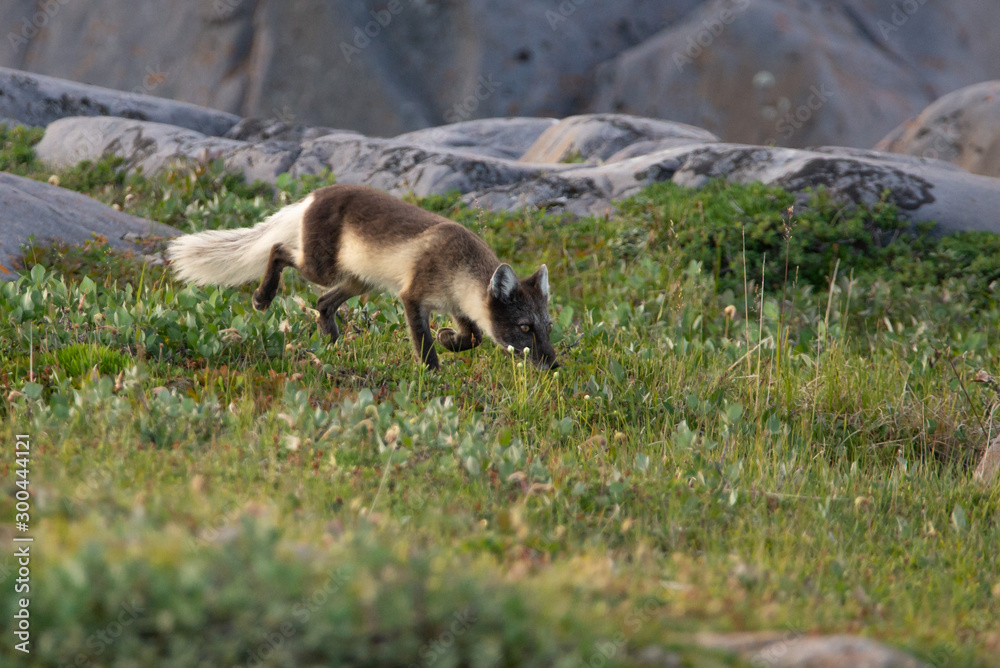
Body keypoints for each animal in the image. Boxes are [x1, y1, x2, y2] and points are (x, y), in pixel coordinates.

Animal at [166, 184, 559, 371]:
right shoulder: (412, 296)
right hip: (322, 269)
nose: (555, 365)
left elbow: (474, 337)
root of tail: (311, 196)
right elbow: (424, 343)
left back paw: (333, 343)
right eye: (525, 327)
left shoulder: (457, 305)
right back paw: (263, 297)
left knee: (322, 303)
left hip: (358, 280)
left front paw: (449, 339)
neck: (460, 265)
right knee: (278, 249)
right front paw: (432, 372)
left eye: (548, 326)